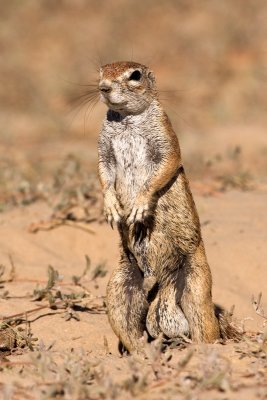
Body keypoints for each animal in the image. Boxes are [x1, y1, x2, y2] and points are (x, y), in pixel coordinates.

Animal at [98, 59, 234, 354]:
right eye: (101, 72)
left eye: (135, 75)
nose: (103, 87)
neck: (126, 118)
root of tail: (159, 280)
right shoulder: (103, 148)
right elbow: (104, 174)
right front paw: (112, 208)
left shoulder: (164, 136)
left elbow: (166, 164)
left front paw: (138, 208)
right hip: (120, 285)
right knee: (130, 328)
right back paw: (142, 352)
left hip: (196, 284)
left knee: (205, 327)